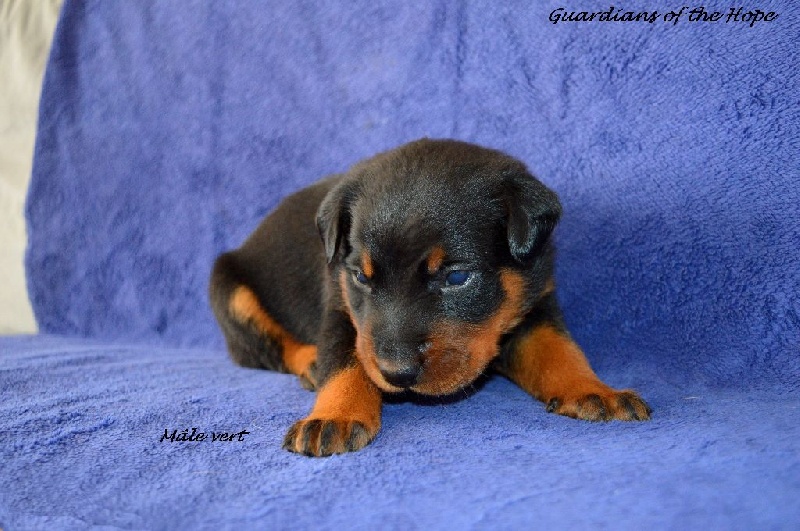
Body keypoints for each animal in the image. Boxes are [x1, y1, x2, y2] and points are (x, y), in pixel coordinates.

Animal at [209, 139, 651, 457]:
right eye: (361, 277)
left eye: (456, 277)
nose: (396, 373)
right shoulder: (339, 303)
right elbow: (344, 358)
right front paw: (335, 416)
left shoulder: (535, 302)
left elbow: (558, 350)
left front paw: (594, 391)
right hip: (229, 292)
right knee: (267, 350)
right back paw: (311, 364)